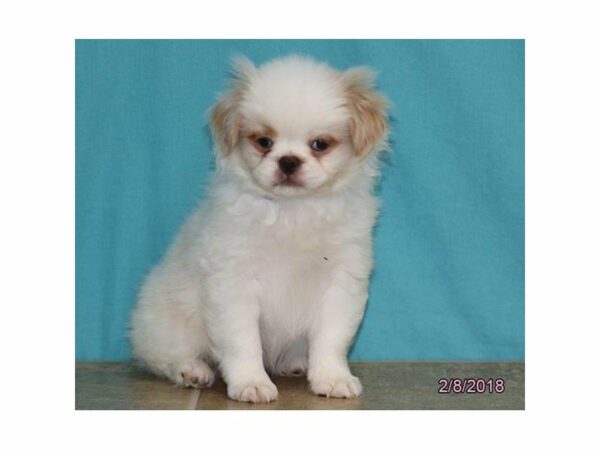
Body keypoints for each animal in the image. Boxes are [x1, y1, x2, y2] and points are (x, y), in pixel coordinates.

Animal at [130, 55, 389, 403]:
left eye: (320, 144)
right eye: (264, 142)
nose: (289, 161)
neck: (293, 211)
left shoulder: (341, 281)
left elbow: (331, 339)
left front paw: (332, 378)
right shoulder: (233, 282)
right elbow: (243, 341)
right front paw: (250, 382)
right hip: (168, 327)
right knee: (162, 357)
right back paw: (191, 370)